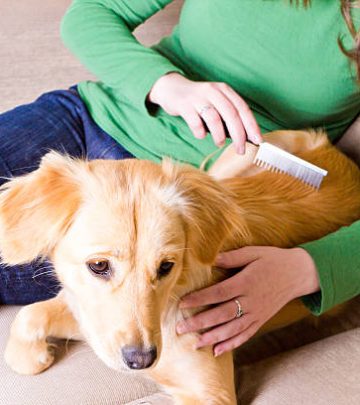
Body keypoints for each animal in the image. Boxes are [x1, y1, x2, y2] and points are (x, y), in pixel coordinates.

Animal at [2, 130, 360, 404]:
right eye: (99, 265)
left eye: (166, 267)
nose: (141, 360)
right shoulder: (91, 319)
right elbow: (30, 314)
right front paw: (31, 357)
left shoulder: (211, 393)